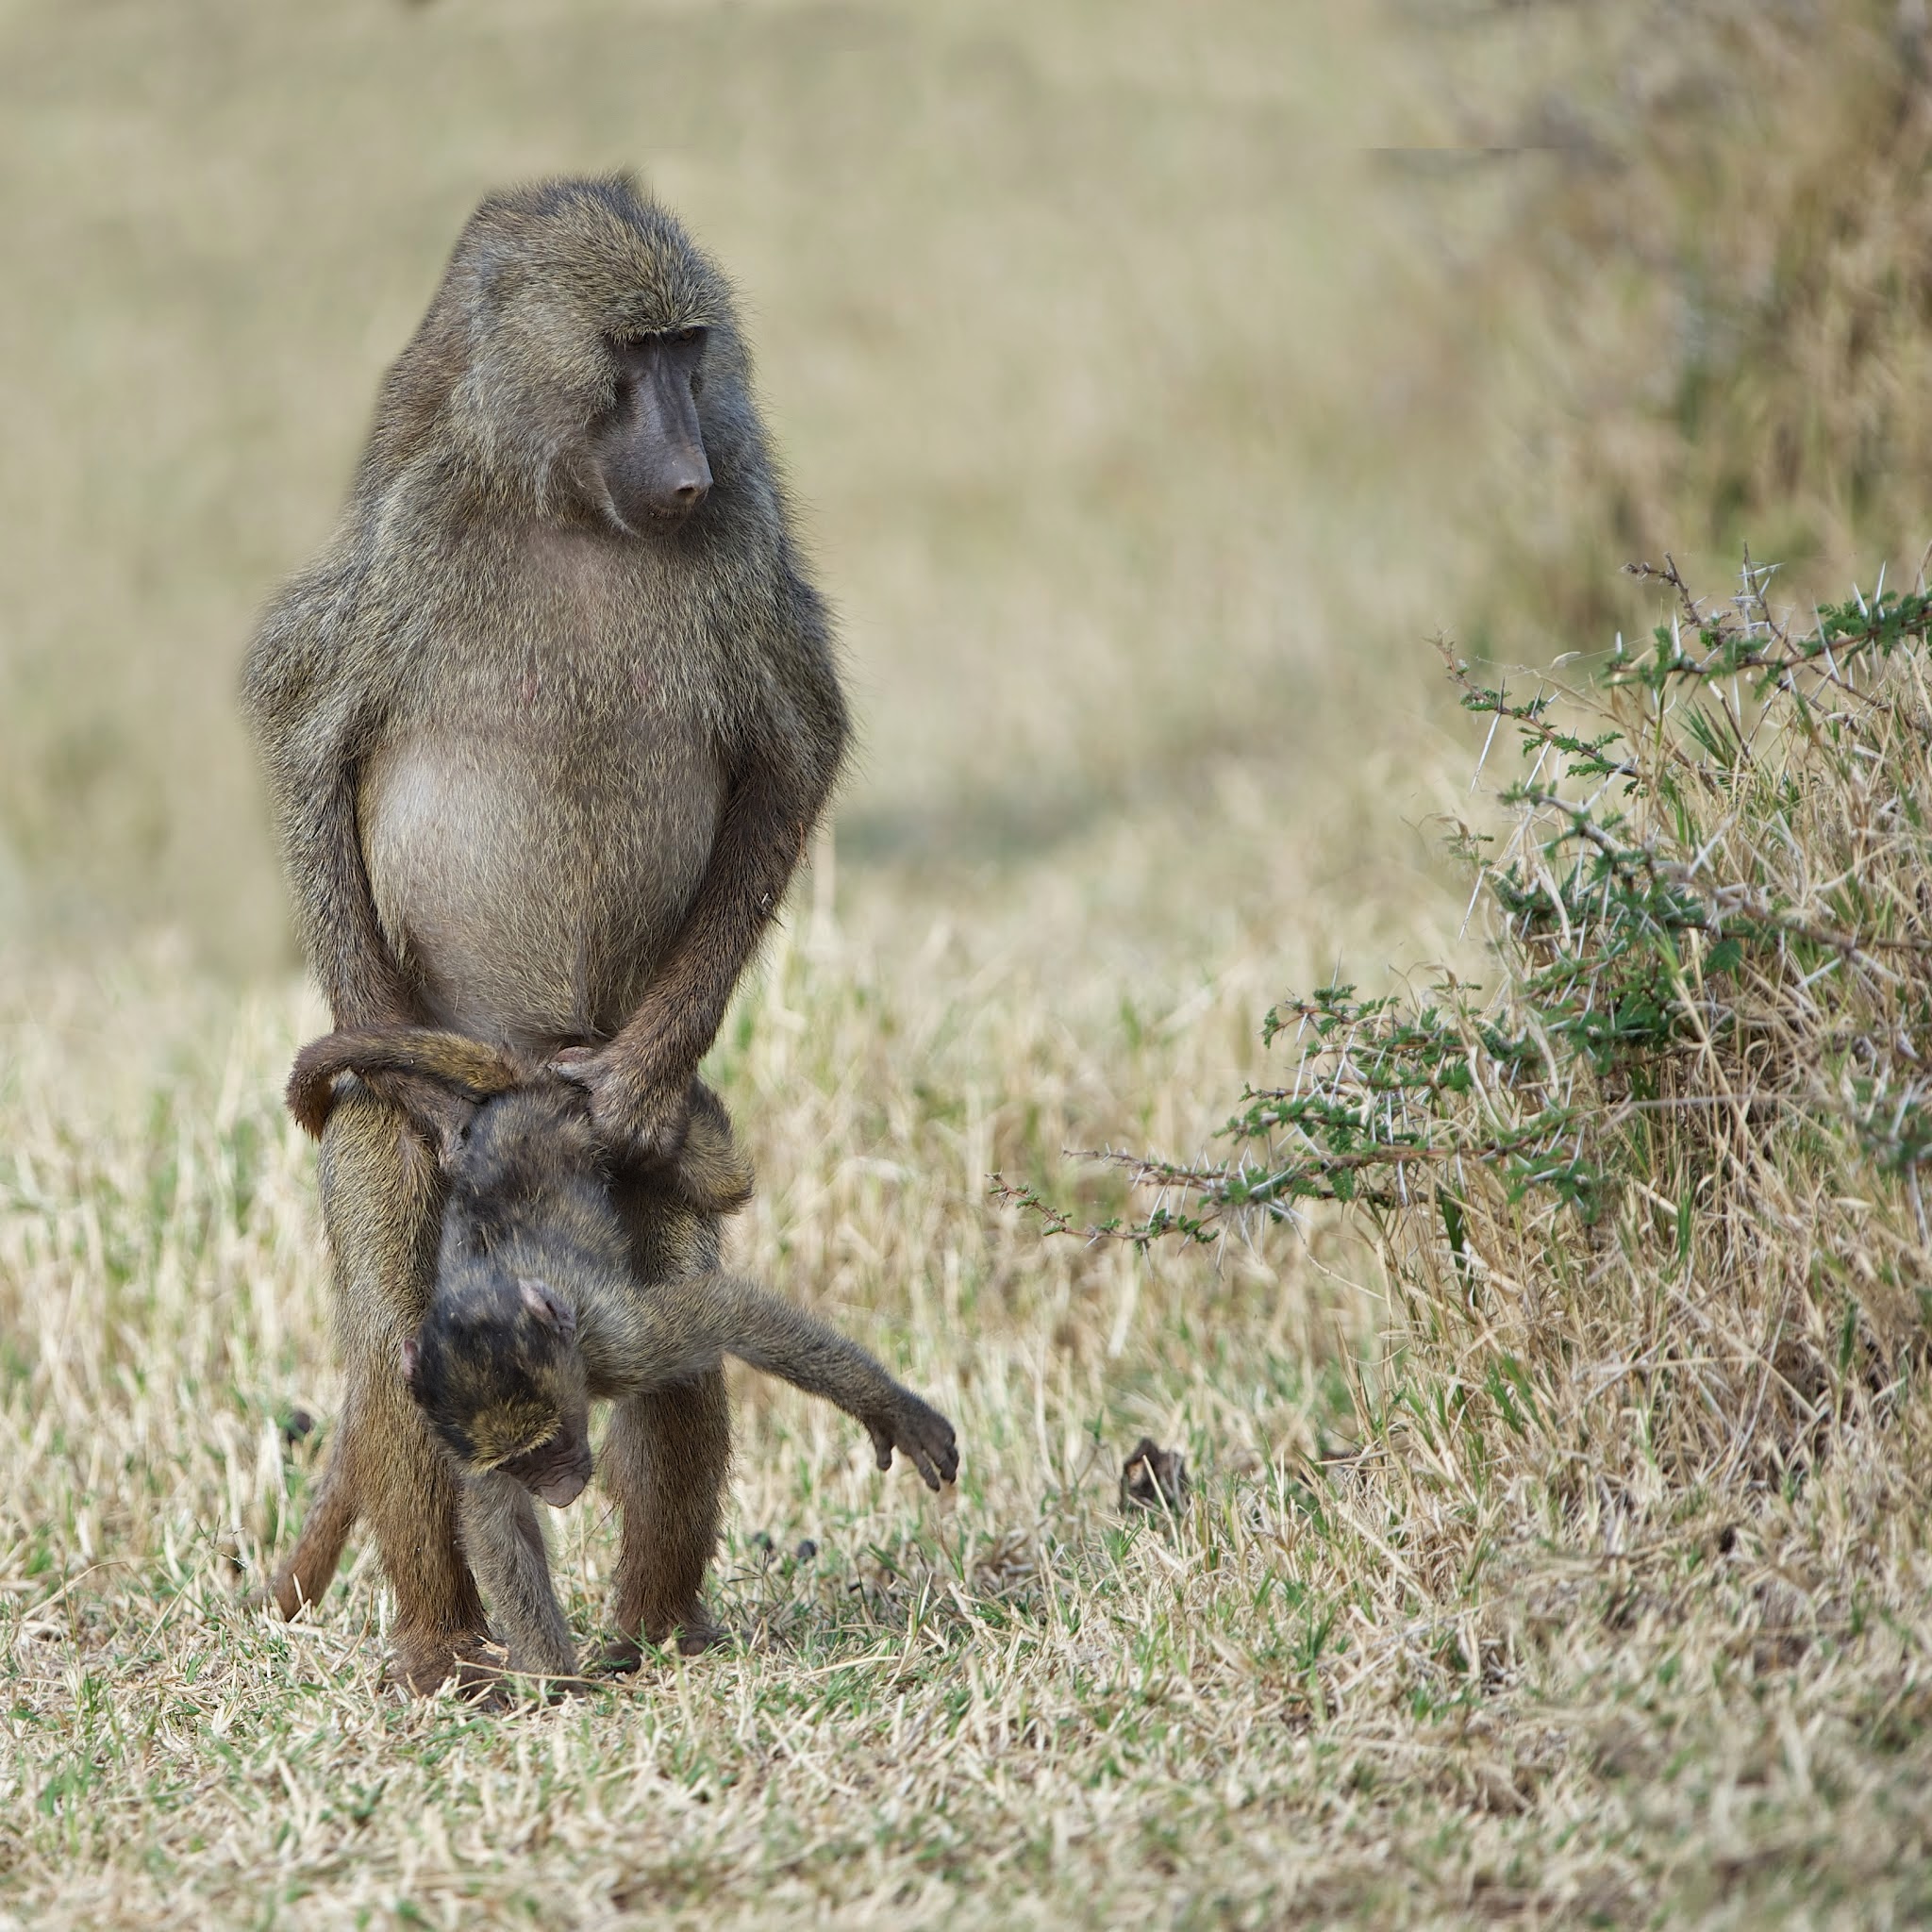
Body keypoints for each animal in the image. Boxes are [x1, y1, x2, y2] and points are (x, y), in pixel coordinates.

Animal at [242, 175, 851, 1694]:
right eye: (629, 358)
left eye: (690, 352)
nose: (687, 469)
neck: (573, 514)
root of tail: (518, 1064)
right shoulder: (406, 538)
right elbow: (303, 729)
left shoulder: (744, 542)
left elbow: (794, 752)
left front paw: (631, 1085)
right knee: (394, 1331)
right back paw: (440, 1643)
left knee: (675, 1323)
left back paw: (658, 1626)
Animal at [270, 1027, 957, 1687]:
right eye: (522, 1462)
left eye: (550, 1445)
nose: (559, 1488)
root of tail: (523, 1097)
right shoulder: (461, 1426)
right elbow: (499, 1524)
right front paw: (553, 1681)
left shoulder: (621, 1342)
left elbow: (732, 1313)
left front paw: (891, 1410)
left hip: (602, 1125)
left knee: (717, 1178)